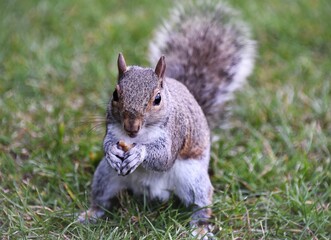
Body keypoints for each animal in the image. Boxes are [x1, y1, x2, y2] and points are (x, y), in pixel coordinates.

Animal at [78, 0, 256, 238]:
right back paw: (90, 214)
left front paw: (140, 153)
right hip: (105, 175)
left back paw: (200, 228)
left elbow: (164, 158)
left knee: (201, 204)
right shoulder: (113, 129)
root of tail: (153, 192)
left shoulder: (175, 131)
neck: (138, 136)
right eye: (115, 94)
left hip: (194, 180)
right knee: (101, 198)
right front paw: (112, 151)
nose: (131, 127)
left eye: (157, 99)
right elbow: (108, 143)